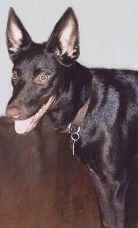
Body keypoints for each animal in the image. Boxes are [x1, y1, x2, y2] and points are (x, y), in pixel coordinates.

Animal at [5, 7, 138, 228]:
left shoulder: (117, 183)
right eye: (15, 75)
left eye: (43, 76)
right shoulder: (98, 178)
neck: (88, 105)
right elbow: (106, 219)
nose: (10, 113)